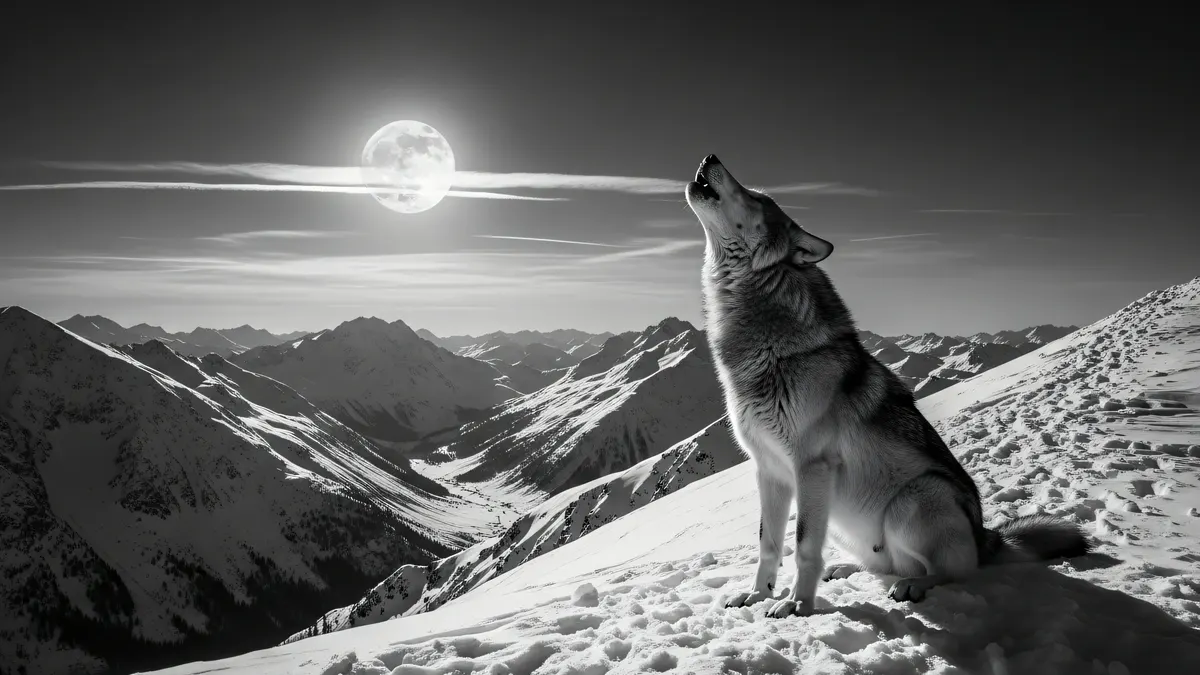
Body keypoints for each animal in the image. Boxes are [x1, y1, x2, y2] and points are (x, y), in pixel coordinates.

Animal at [685, 154, 1090, 618]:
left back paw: (913, 585)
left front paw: (797, 604)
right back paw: (845, 570)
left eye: (754, 196)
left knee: (951, 572)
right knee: (885, 565)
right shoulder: (769, 471)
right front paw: (757, 595)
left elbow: (803, 546)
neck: (768, 347)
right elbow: (768, 544)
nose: (710, 158)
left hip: (911, 502)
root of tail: (988, 537)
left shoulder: (812, 467)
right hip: (848, 523)